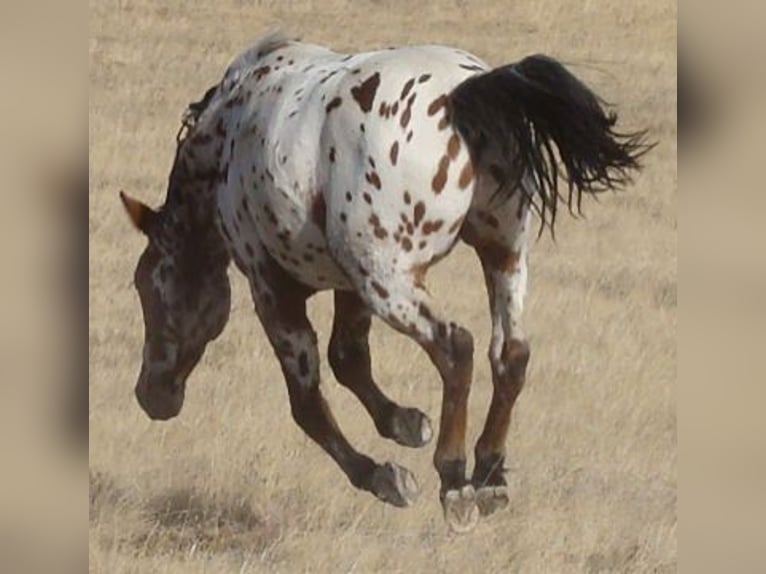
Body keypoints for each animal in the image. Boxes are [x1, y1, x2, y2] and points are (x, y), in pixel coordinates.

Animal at [121, 32, 656, 536]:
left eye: (147, 288)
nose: (150, 395)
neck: (227, 134)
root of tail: (463, 93)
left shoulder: (273, 287)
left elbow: (308, 401)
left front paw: (385, 475)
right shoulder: (349, 285)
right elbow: (348, 359)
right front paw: (405, 424)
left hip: (390, 280)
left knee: (456, 347)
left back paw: (455, 481)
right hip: (499, 252)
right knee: (511, 352)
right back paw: (489, 475)